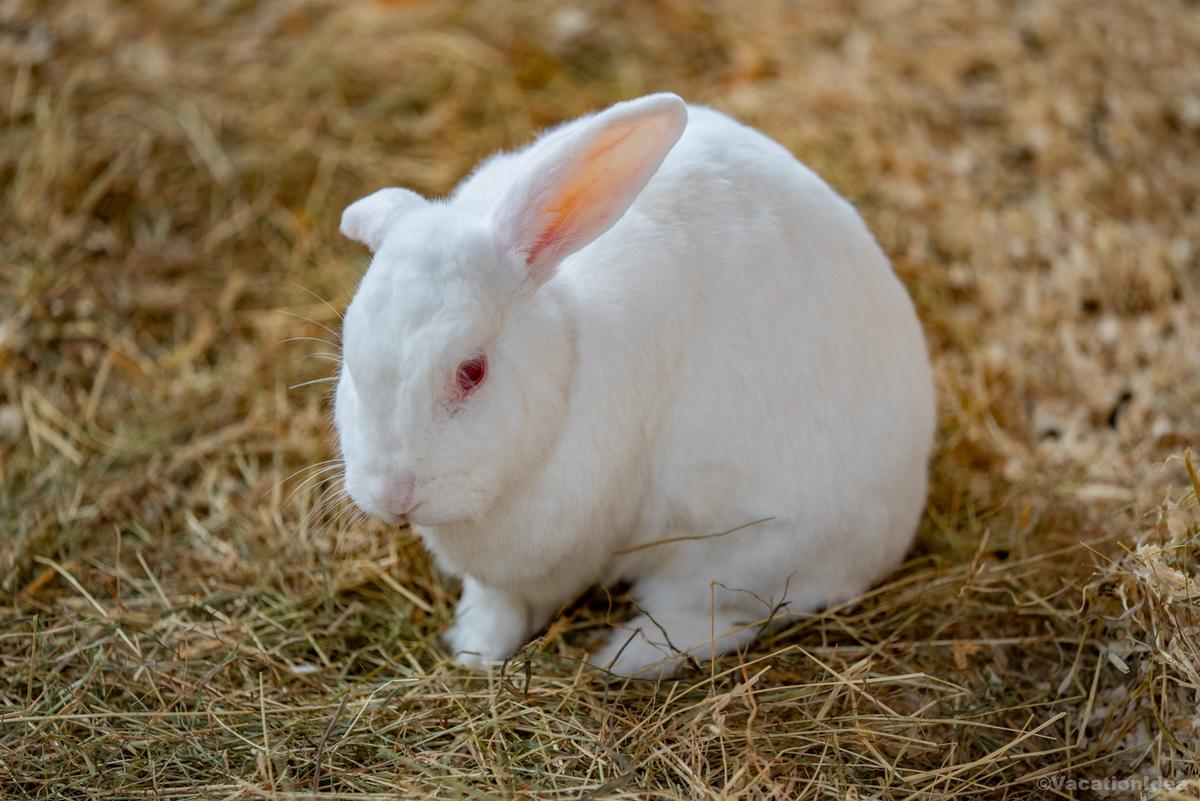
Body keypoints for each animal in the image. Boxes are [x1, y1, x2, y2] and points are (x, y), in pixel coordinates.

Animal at [333, 93, 935, 679]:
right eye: (350, 355)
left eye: (473, 371)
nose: (394, 495)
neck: (569, 354)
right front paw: (470, 651)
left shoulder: (566, 551)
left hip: (750, 552)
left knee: (725, 616)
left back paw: (622, 657)